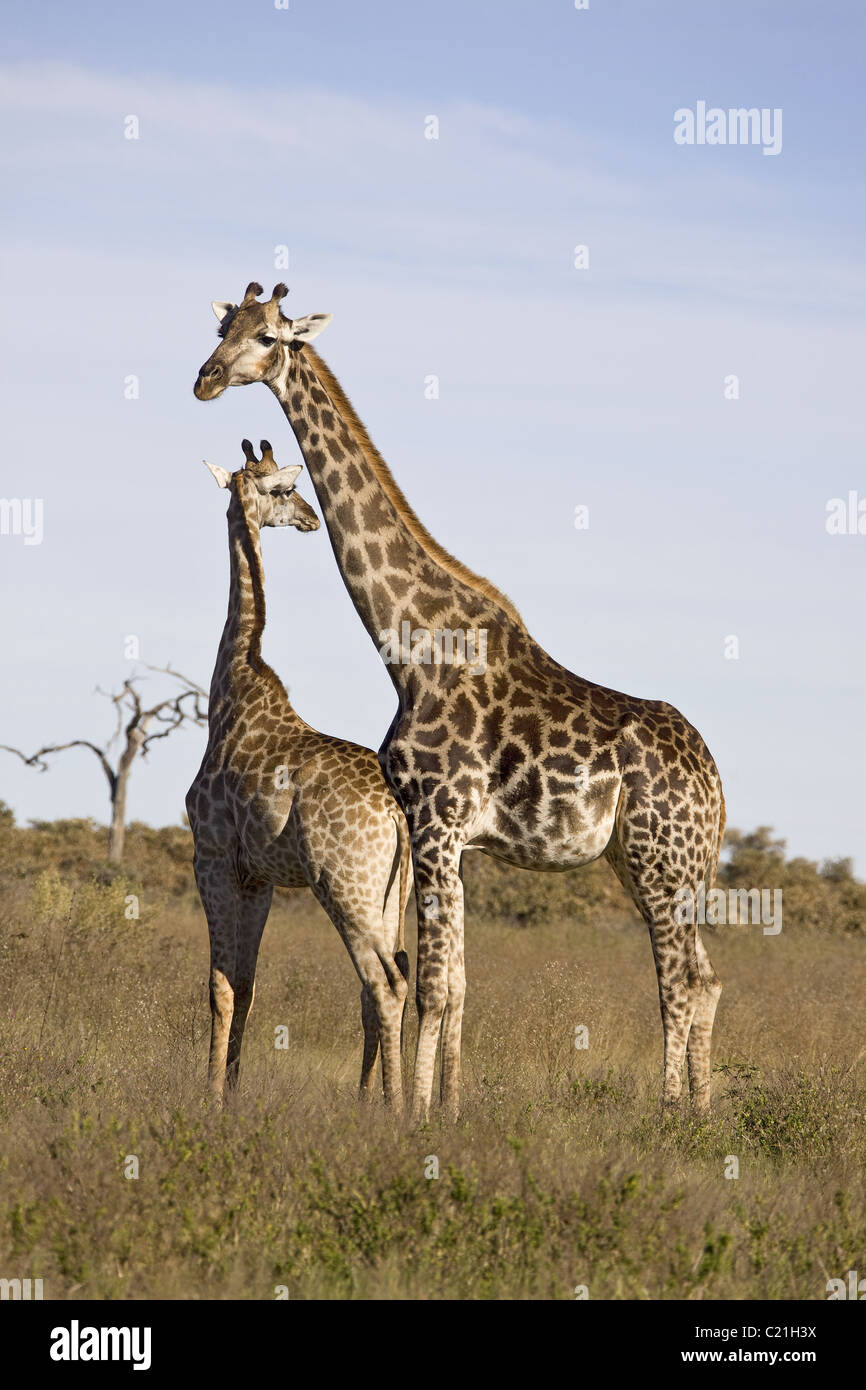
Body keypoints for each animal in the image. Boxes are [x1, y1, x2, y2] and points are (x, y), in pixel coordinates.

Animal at [185, 437, 412, 1111]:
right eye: (286, 490)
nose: (312, 518)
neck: (231, 688)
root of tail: (397, 816)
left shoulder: (212, 856)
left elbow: (219, 985)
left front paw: (209, 1098)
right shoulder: (258, 877)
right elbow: (248, 984)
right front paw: (231, 1091)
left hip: (344, 885)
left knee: (385, 983)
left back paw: (393, 1110)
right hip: (391, 893)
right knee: (391, 981)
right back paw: (371, 1101)